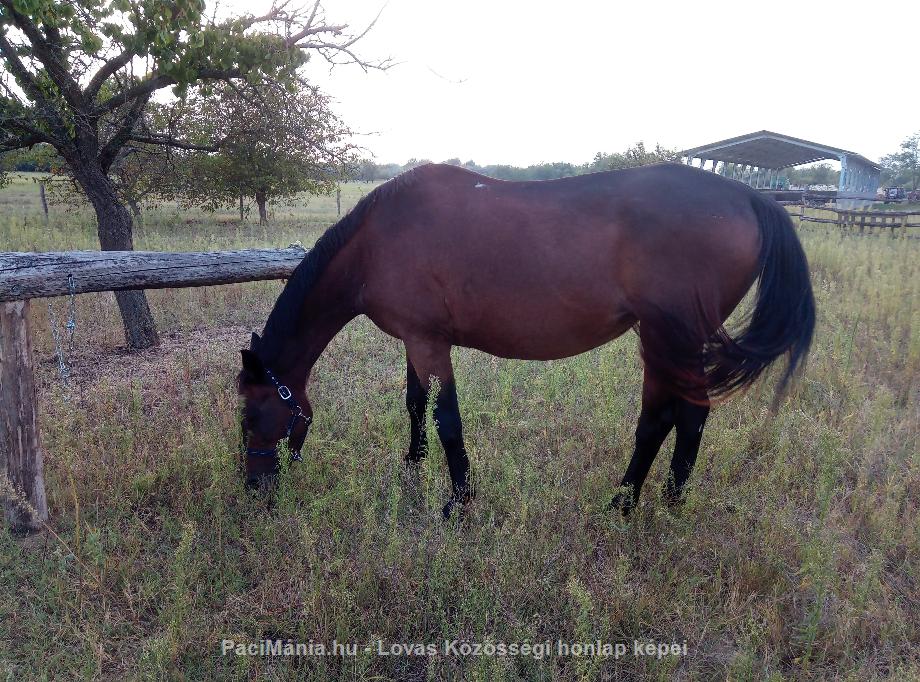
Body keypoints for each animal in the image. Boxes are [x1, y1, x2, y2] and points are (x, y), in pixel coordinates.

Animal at [235, 163, 812, 516]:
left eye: (250, 415)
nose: (254, 489)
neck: (378, 241)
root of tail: (751, 198)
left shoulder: (429, 343)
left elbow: (447, 419)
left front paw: (459, 501)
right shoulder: (414, 341)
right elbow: (415, 404)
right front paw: (411, 470)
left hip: (670, 338)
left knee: (673, 418)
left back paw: (635, 506)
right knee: (677, 417)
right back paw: (648, 502)